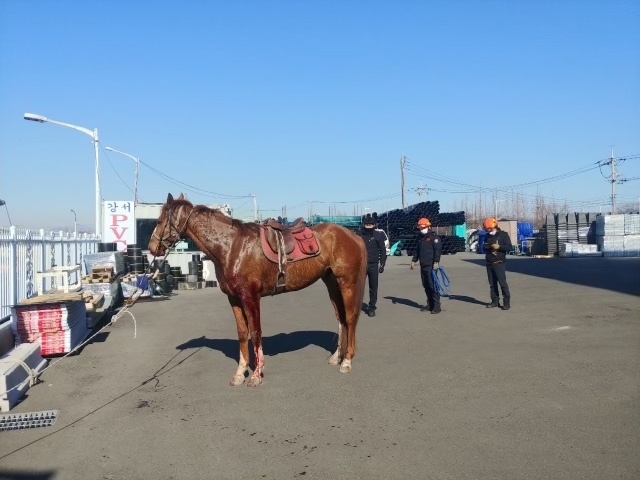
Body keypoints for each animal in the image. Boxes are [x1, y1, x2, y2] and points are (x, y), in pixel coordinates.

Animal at [149, 194, 364, 386]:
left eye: (160, 220)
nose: (152, 248)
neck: (232, 247)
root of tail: (353, 235)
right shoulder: (234, 298)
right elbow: (243, 332)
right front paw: (239, 373)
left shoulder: (251, 297)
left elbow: (255, 332)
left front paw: (256, 375)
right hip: (331, 283)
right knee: (341, 318)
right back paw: (336, 357)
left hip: (347, 283)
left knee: (350, 317)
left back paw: (346, 361)